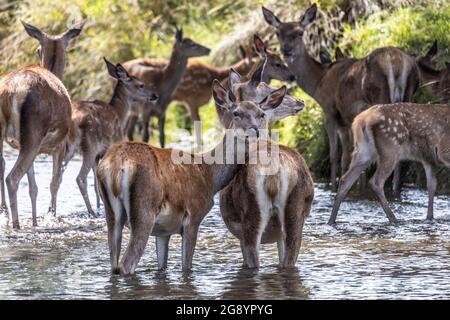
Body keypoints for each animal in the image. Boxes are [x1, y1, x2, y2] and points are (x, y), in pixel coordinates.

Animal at [0, 20, 83, 229]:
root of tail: (9, 92)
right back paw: (16, 224)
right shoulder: (60, 145)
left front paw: (36, 221)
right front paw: (51, 215)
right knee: (12, 178)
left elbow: (33, 187)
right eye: (68, 50)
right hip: (34, 132)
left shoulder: (22, 143)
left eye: (38, 49)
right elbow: (55, 182)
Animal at [63, 58, 158, 216]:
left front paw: (100, 204)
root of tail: (73, 122)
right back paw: (91, 211)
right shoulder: (114, 145)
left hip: (68, 148)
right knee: (80, 178)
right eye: (141, 84)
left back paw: (53, 210)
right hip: (89, 146)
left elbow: (96, 181)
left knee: (57, 176)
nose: (155, 95)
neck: (119, 113)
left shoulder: (98, 155)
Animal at [96, 75, 286, 276]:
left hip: (112, 213)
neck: (210, 177)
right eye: (236, 113)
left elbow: (162, 266)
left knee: (114, 263)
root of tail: (115, 166)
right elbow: (186, 267)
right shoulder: (194, 215)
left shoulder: (163, 231)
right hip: (144, 209)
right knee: (126, 264)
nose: (254, 130)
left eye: (261, 114)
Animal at [262, 3, 420, 192]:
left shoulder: (330, 110)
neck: (319, 82)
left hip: (380, 97)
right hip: (408, 94)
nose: (286, 50)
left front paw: (333, 187)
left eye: (300, 33)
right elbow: (351, 155)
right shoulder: (346, 120)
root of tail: (396, 62)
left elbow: (335, 155)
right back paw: (396, 188)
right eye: (278, 33)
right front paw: (355, 186)